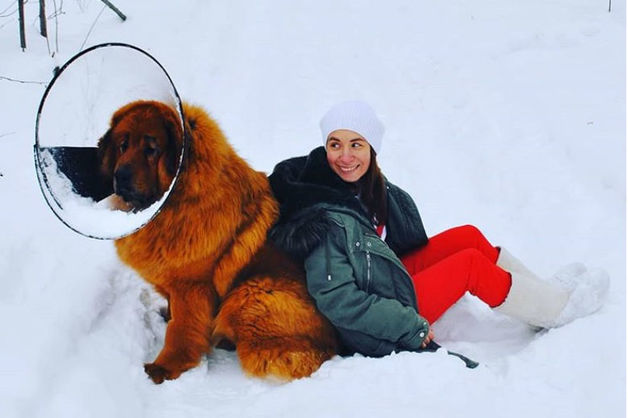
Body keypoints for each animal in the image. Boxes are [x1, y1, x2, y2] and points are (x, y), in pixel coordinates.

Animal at [97, 100, 338, 382]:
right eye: (123, 146)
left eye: (151, 149)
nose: (120, 175)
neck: (177, 205)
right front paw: (166, 316)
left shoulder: (192, 287)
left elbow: (181, 330)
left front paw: (164, 368)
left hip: (249, 293)